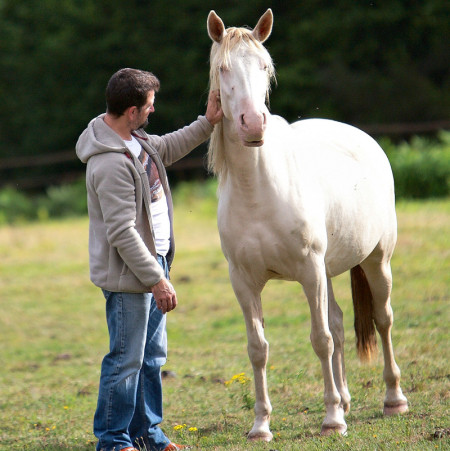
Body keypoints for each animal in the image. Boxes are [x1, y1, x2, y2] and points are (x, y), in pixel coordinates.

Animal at [207, 9, 408, 442]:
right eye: (223, 68)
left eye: (264, 68)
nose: (253, 125)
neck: (258, 189)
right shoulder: (243, 281)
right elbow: (258, 347)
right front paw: (261, 425)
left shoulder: (309, 270)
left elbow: (320, 340)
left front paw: (331, 420)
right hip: (329, 271)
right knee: (339, 320)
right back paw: (346, 400)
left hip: (375, 260)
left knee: (382, 318)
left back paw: (393, 399)